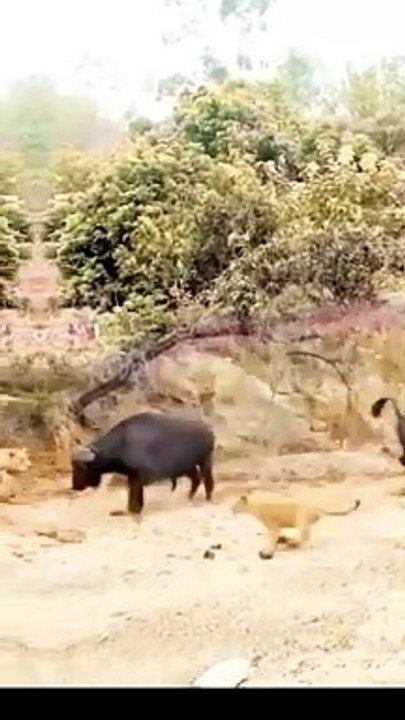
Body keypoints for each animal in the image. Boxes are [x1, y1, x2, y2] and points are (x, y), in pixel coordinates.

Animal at [71, 411, 215, 515]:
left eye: (81, 467)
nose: (75, 486)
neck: (122, 443)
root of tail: (208, 430)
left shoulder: (137, 477)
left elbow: (134, 494)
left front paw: (133, 509)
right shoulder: (133, 477)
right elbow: (135, 495)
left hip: (205, 461)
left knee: (208, 480)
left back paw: (208, 498)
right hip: (189, 466)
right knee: (196, 479)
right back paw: (189, 497)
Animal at [232, 492, 361, 559]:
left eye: (236, 504)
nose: (231, 509)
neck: (255, 507)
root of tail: (315, 508)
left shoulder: (273, 527)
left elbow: (272, 541)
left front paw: (268, 552)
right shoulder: (276, 529)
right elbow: (275, 539)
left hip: (301, 522)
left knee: (305, 537)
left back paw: (300, 546)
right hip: (304, 524)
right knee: (306, 536)